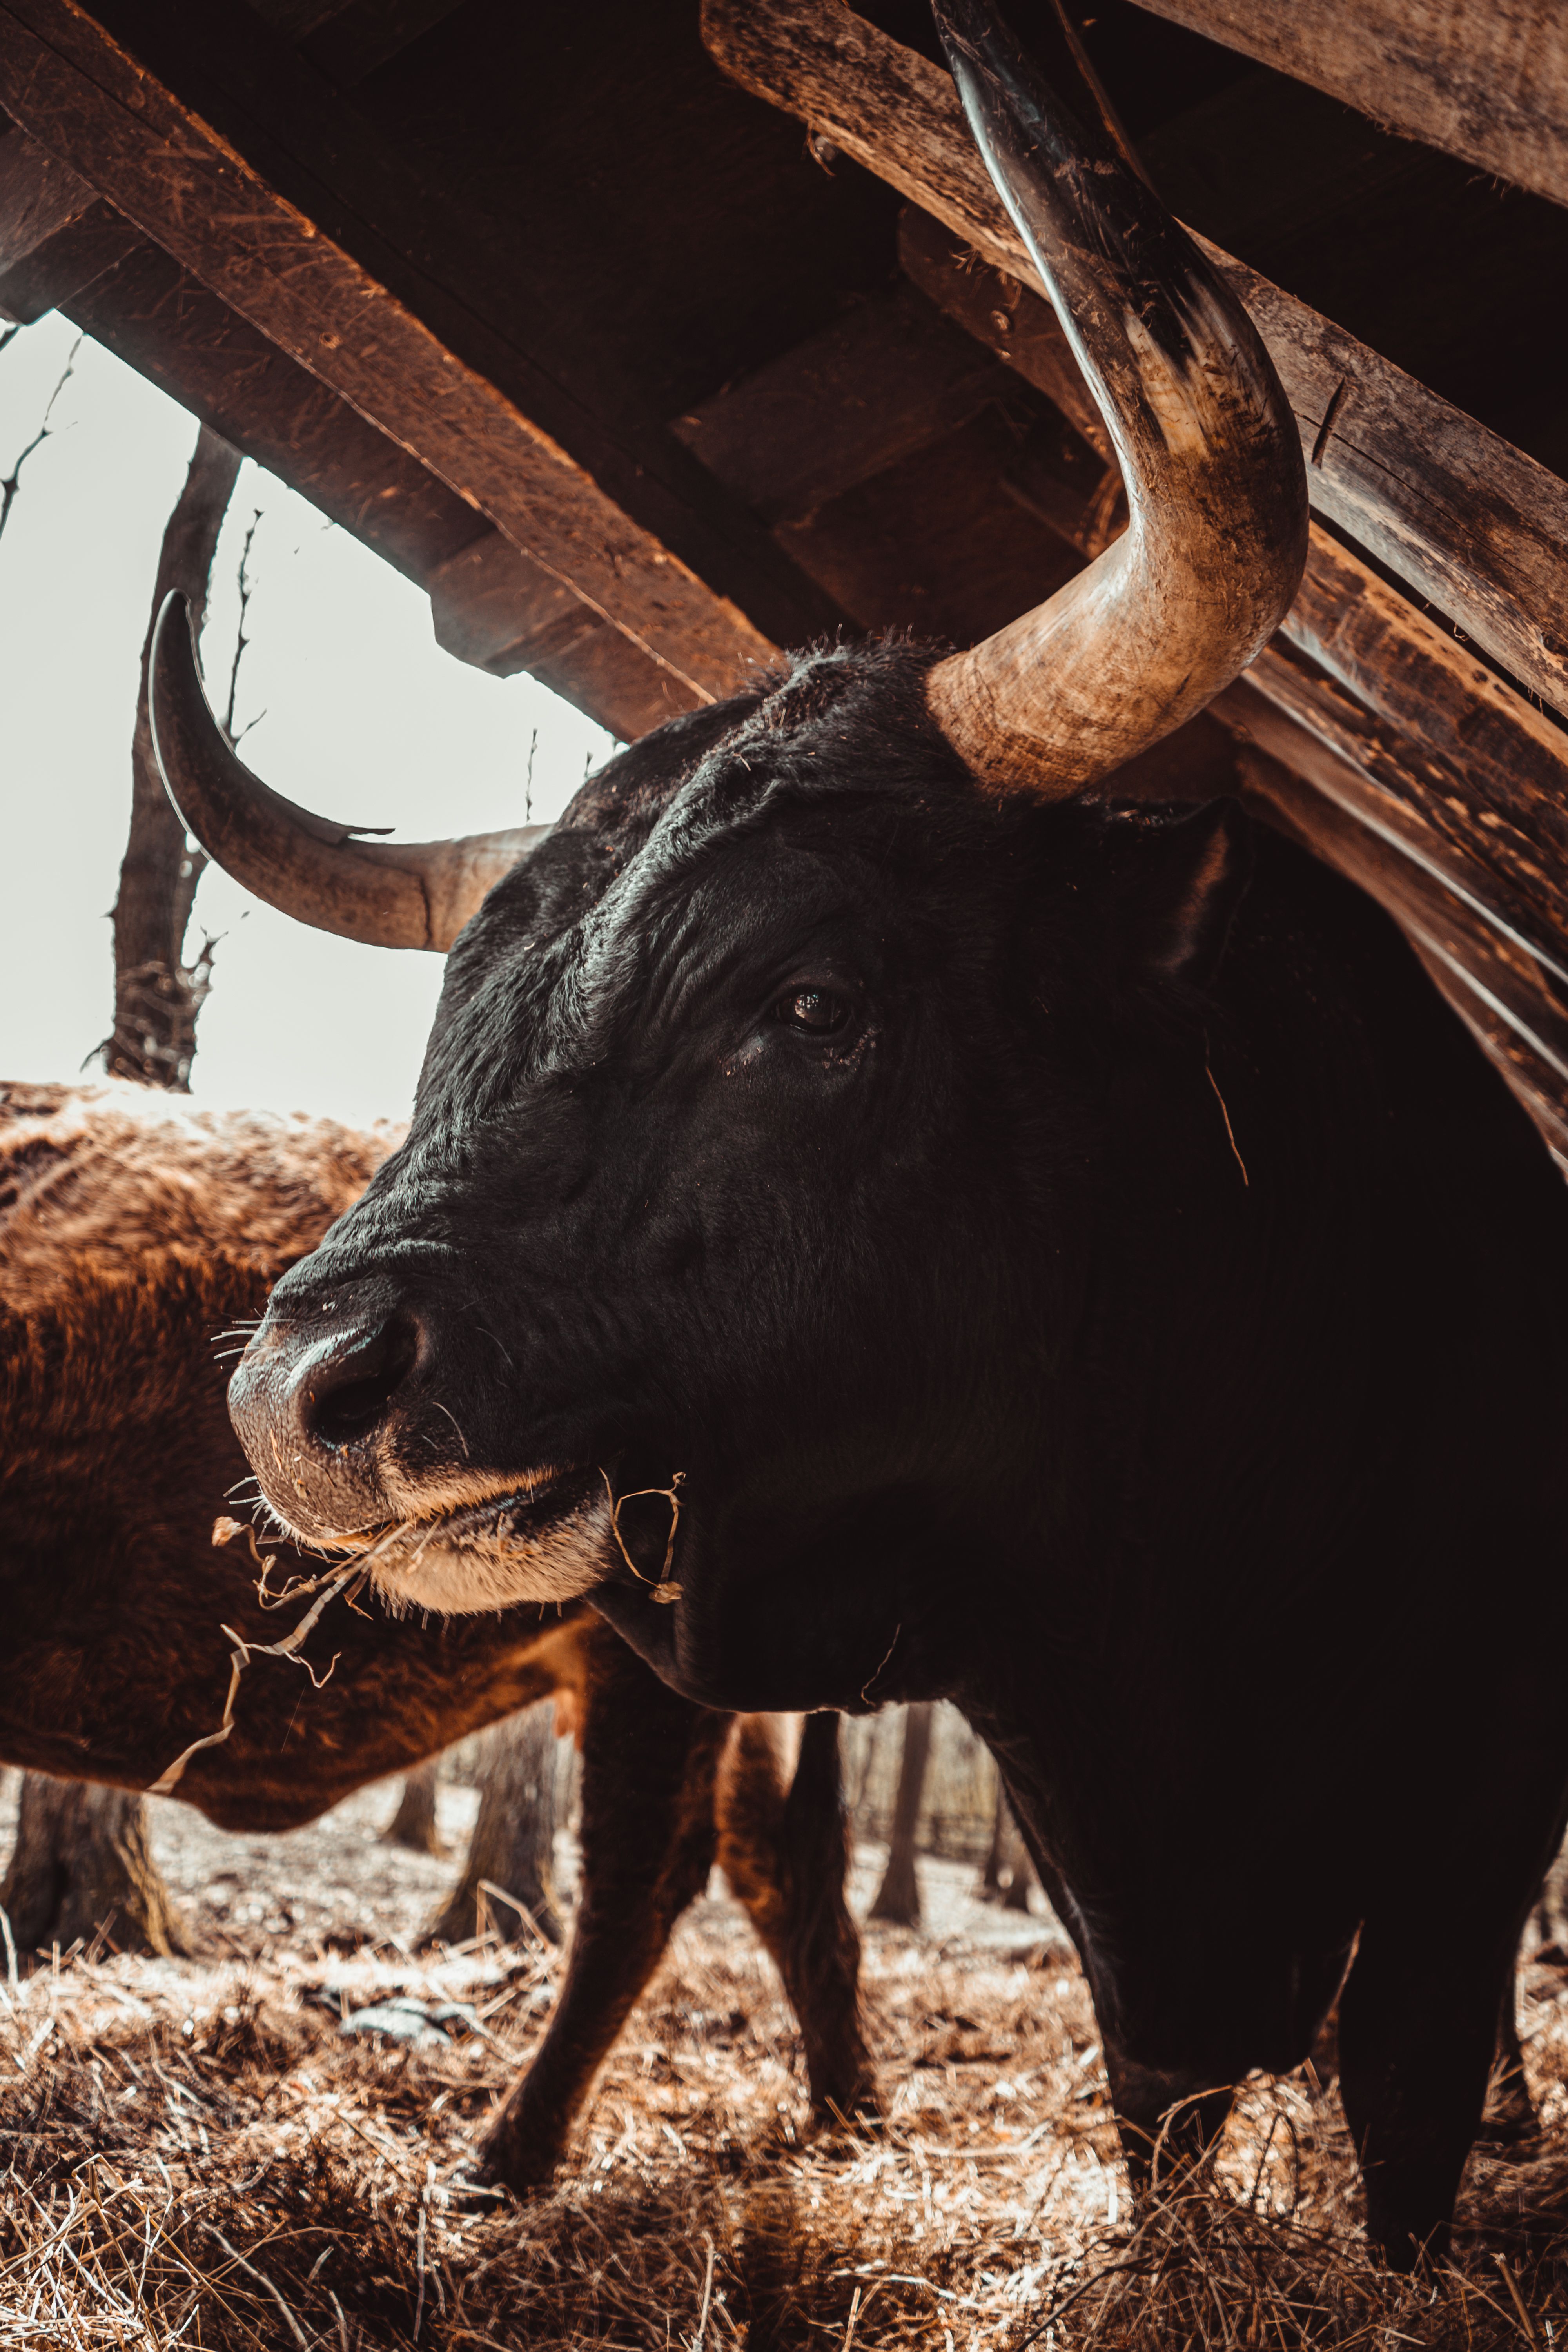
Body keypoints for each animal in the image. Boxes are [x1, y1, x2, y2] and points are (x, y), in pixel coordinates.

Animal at [146, 0, 1568, 2266]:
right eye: (457, 1024)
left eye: (807, 1004)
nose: (308, 1390)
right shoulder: (1099, 1856)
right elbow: (1160, 2106)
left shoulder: (1465, 1825)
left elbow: (1413, 2099)